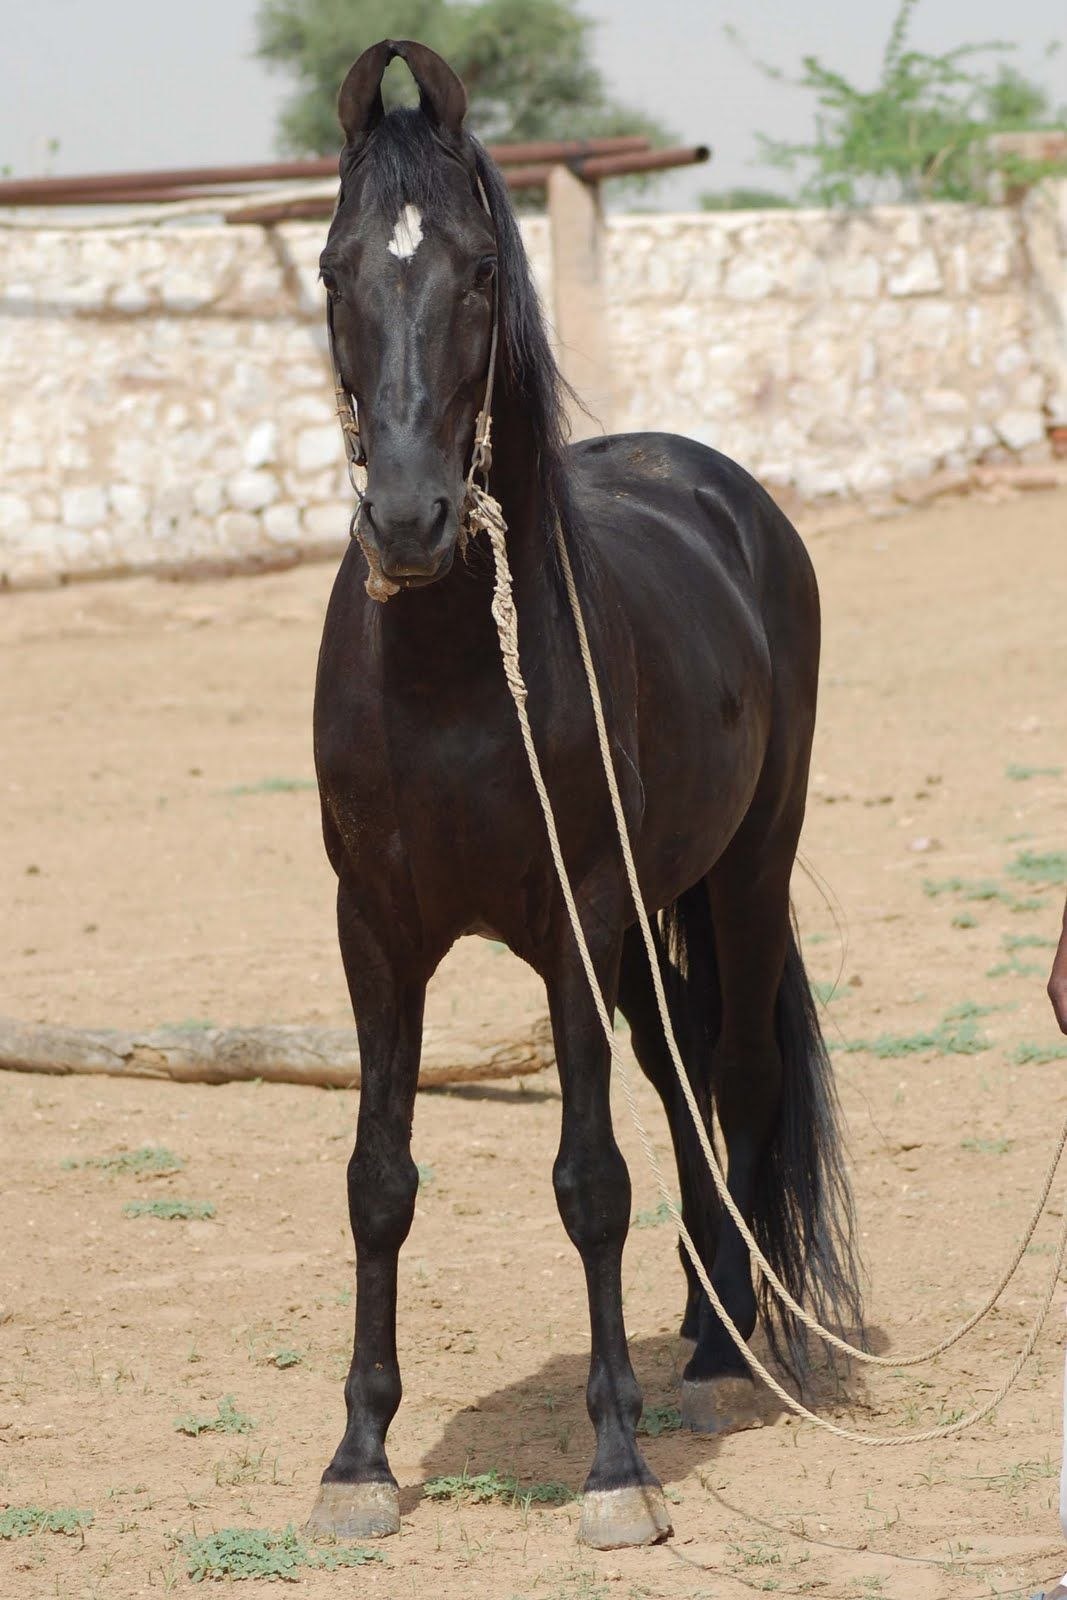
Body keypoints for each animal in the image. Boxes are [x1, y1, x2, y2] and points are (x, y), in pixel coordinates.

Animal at [307, 43, 857, 1555]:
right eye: (331, 268)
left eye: (481, 271)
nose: (411, 523)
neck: (448, 681)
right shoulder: (376, 933)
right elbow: (378, 1181)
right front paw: (358, 1459)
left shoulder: (571, 917)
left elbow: (587, 1179)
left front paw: (614, 1469)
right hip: (646, 929)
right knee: (682, 1076)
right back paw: (705, 1316)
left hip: (741, 873)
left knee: (733, 1077)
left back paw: (720, 1357)